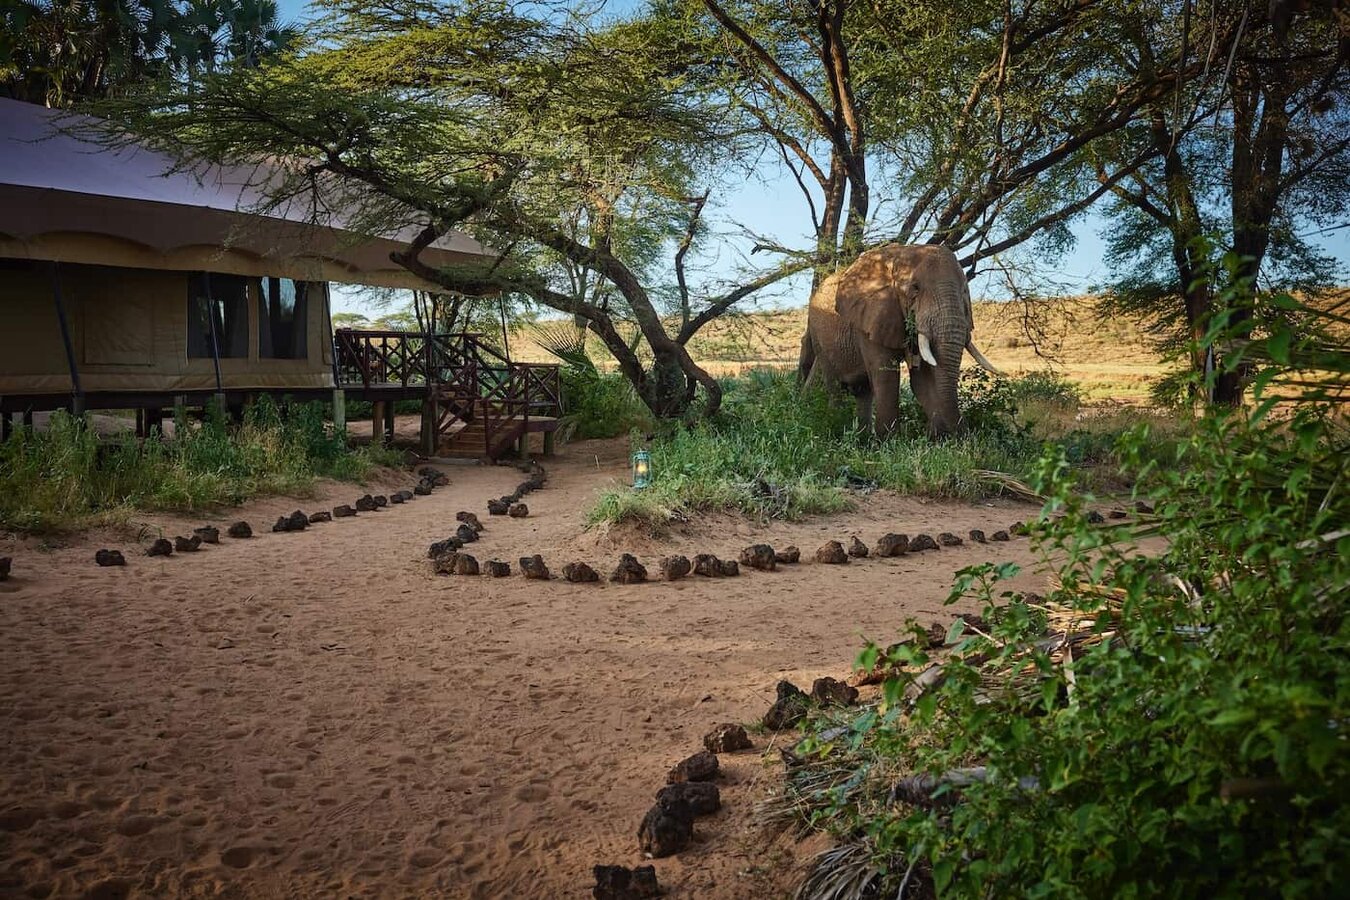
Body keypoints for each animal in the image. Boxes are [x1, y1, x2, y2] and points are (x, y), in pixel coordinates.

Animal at [798, 243, 1001, 437]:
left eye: (965, 290)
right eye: (915, 289)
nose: (967, 436)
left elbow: (922, 378)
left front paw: (938, 439)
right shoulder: (871, 318)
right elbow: (885, 373)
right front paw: (888, 441)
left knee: (863, 391)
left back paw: (862, 438)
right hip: (818, 336)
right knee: (835, 386)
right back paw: (838, 424)